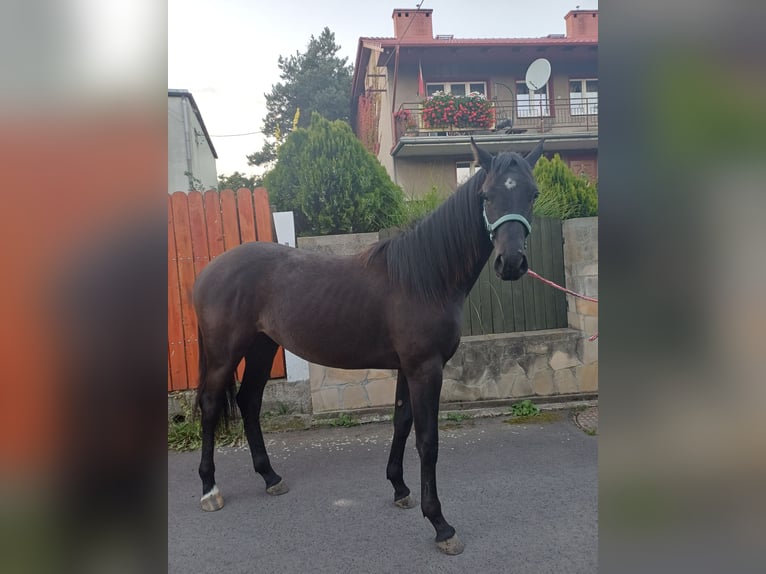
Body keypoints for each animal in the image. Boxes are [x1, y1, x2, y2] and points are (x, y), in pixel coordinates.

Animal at [192, 138, 544, 555]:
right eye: (487, 195)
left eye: (533, 193)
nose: (512, 262)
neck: (426, 278)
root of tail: (208, 271)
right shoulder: (425, 368)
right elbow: (428, 440)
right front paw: (440, 524)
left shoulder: (409, 367)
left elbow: (401, 422)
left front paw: (399, 488)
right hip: (223, 355)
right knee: (211, 407)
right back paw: (209, 489)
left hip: (262, 348)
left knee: (249, 402)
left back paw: (270, 477)